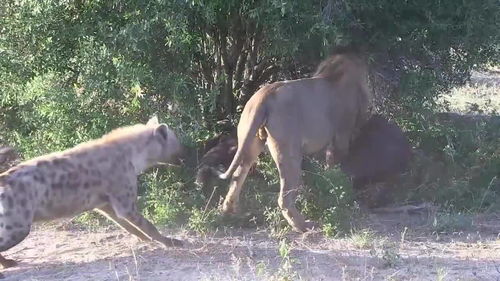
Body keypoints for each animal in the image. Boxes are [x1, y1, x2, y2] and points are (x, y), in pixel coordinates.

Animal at [219, 48, 372, 232]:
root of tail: (264, 96)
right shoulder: (342, 135)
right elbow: (337, 167)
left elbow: (330, 167)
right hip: (289, 151)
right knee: (284, 197)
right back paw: (303, 225)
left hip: (250, 141)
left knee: (237, 175)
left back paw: (230, 212)